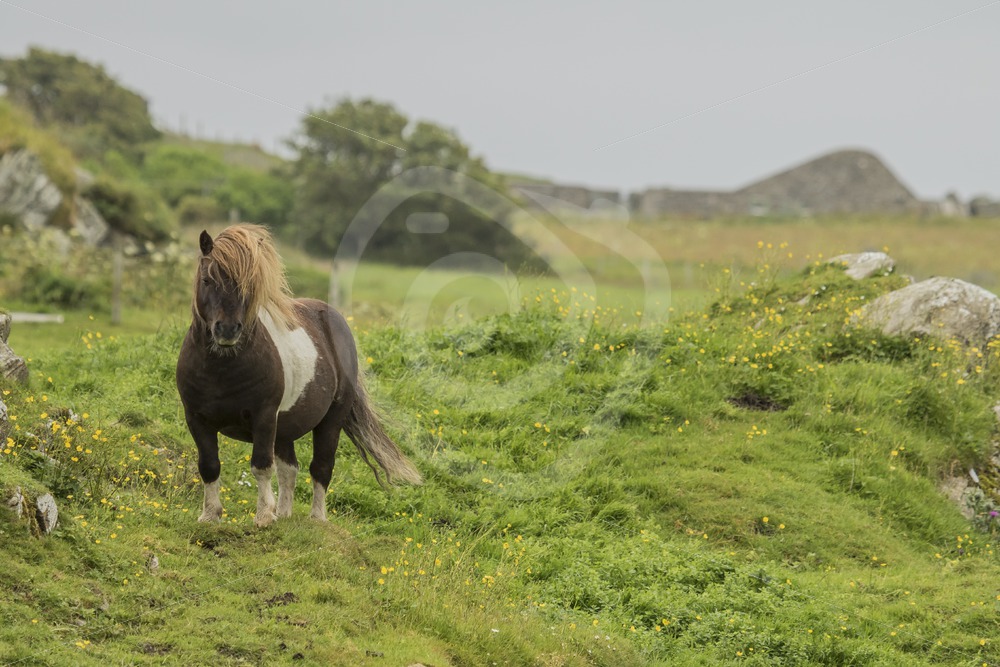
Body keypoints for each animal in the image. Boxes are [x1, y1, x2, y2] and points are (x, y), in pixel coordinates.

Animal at [175, 224, 421, 527]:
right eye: (208, 279)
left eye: (250, 285)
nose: (228, 330)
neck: (221, 370)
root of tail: (333, 318)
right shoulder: (196, 418)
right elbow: (209, 466)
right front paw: (210, 516)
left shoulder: (263, 417)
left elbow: (261, 466)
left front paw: (263, 517)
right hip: (285, 428)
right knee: (289, 469)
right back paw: (284, 514)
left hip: (330, 421)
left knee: (321, 468)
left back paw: (316, 519)